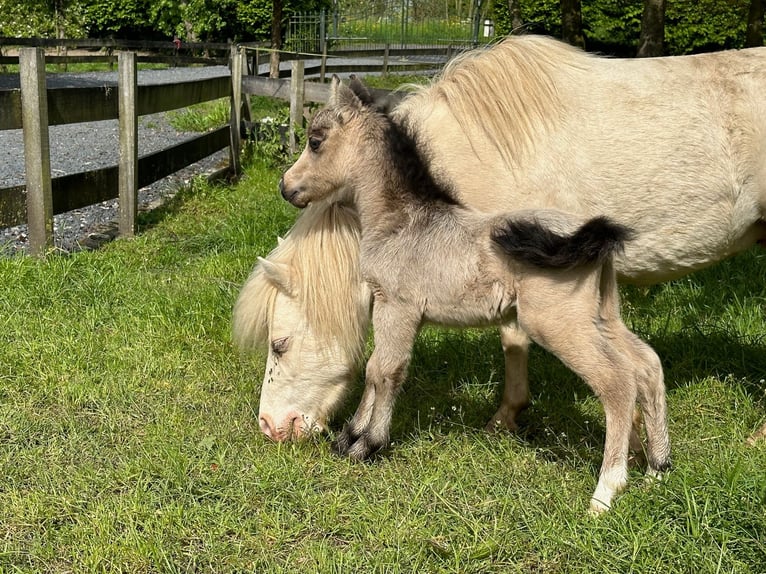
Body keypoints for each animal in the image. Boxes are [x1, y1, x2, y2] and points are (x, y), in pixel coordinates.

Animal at [278, 76, 672, 512]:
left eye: (315, 141)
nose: (286, 187)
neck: (401, 221)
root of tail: (592, 236)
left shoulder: (398, 306)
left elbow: (384, 370)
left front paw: (367, 444)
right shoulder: (388, 306)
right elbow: (375, 368)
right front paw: (351, 437)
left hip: (558, 323)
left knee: (618, 384)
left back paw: (606, 491)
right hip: (603, 315)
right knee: (647, 365)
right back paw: (657, 470)